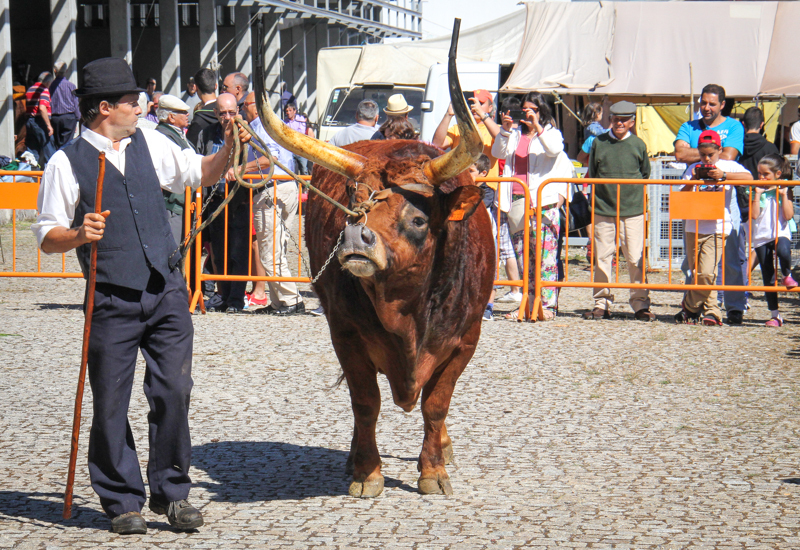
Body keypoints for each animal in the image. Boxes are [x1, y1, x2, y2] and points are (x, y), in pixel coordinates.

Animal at [255, 23, 494, 500]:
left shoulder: (465, 340)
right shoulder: (345, 336)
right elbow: (366, 403)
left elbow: (436, 405)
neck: (407, 308)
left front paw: (433, 470)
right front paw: (367, 472)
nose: (355, 238)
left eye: (418, 217)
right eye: (354, 205)